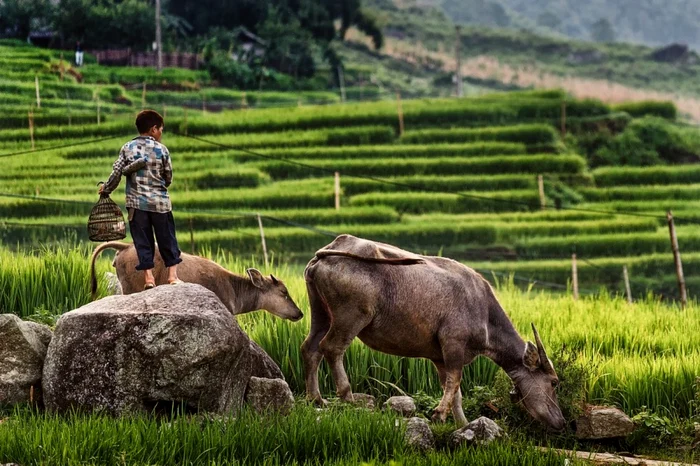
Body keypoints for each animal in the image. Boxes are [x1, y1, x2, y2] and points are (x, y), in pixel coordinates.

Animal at [304, 235, 568, 432]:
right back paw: (346, 397)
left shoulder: (439, 357)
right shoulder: (453, 344)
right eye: (554, 382)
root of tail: (331, 249)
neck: (484, 312)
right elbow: (455, 382)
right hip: (351, 316)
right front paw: (439, 415)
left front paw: (463, 423)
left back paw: (315, 398)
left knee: (310, 348)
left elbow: (455, 391)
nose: (562, 421)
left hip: (321, 313)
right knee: (332, 348)